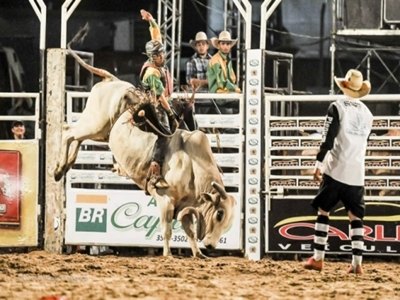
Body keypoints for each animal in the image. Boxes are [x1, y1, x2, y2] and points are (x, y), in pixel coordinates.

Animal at [52, 34, 234, 258]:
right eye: (219, 214)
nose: (211, 246)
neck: (194, 167)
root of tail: (112, 80)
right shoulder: (165, 200)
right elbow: (166, 229)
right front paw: (167, 253)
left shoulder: (185, 207)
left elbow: (189, 231)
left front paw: (198, 253)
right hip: (95, 123)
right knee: (68, 132)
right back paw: (59, 170)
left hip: (101, 132)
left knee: (75, 136)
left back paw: (67, 164)